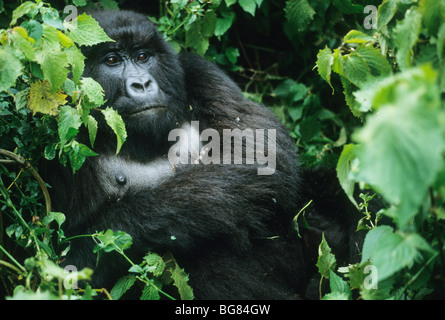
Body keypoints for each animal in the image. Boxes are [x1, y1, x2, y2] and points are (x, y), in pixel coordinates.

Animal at [40, 10, 360, 300]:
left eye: (143, 57)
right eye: (111, 61)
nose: (142, 84)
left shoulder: (197, 69)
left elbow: (259, 153)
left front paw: (103, 241)